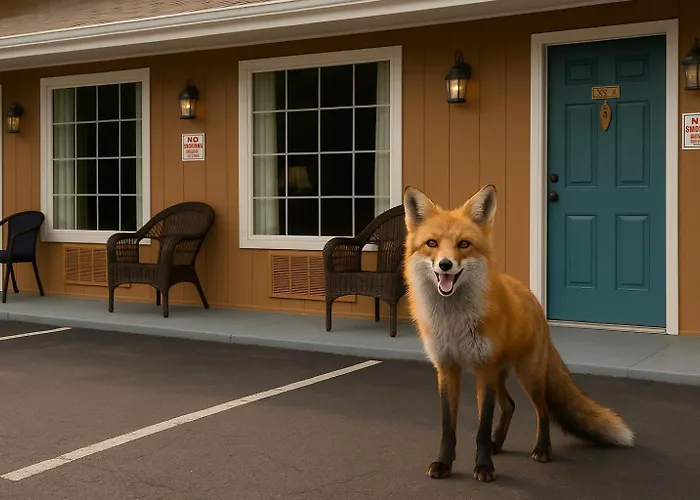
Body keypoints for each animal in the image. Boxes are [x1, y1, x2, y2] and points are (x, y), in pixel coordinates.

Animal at [402, 183, 634, 483]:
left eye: (463, 244)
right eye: (431, 243)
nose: (445, 265)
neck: (453, 322)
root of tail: (532, 296)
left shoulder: (483, 367)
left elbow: (482, 426)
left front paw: (484, 467)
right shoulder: (447, 368)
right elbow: (448, 427)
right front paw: (444, 463)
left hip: (527, 374)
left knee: (542, 410)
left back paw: (542, 449)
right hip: (499, 374)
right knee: (510, 405)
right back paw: (497, 443)